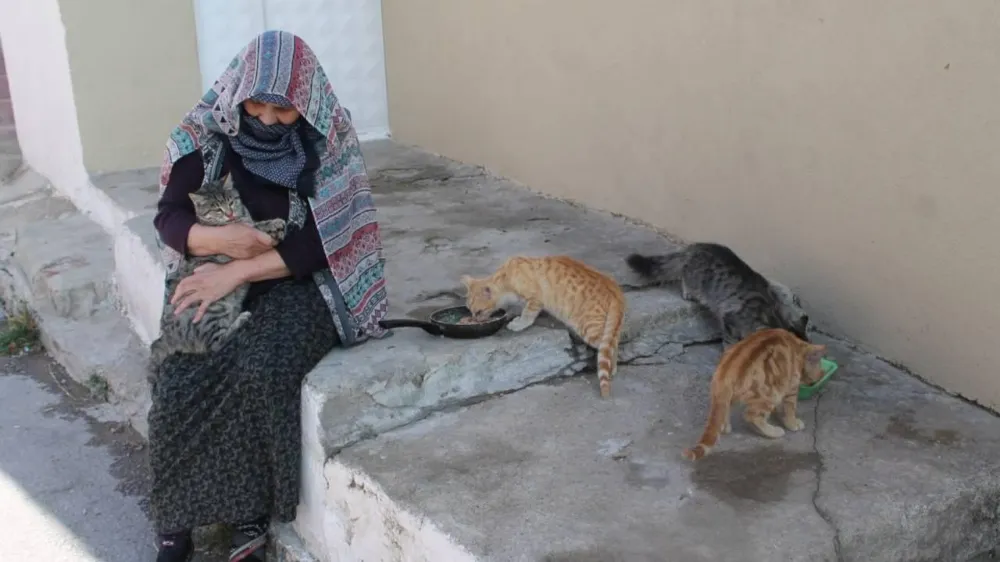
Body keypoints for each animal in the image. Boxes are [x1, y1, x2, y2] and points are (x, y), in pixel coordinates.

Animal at [148, 177, 290, 374]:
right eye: (216, 209)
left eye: (230, 202)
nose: (229, 214)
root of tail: (166, 336)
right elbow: (254, 226)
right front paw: (272, 224)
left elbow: (253, 223)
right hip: (211, 311)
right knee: (217, 344)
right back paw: (241, 319)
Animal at [460, 256, 624, 396]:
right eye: (470, 311)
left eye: (479, 312)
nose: (474, 319)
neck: (507, 277)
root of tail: (615, 289)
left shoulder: (535, 299)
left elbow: (527, 315)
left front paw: (518, 324)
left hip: (589, 329)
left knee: (609, 346)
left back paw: (611, 369)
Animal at [628, 241, 808, 346]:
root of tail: (697, 246)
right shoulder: (731, 320)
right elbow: (730, 342)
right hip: (695, 277)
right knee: (685, 278)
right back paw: (689, 292)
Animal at [680, 324, 828, 460]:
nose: (818, 379)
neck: (796, 347)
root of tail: (726, 372)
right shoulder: (790, 388)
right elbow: (790, 409)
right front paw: (792, 423)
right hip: (769, 395)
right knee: (751, 416)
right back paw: (773, 431)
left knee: (726, 410)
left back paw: (725, 426)